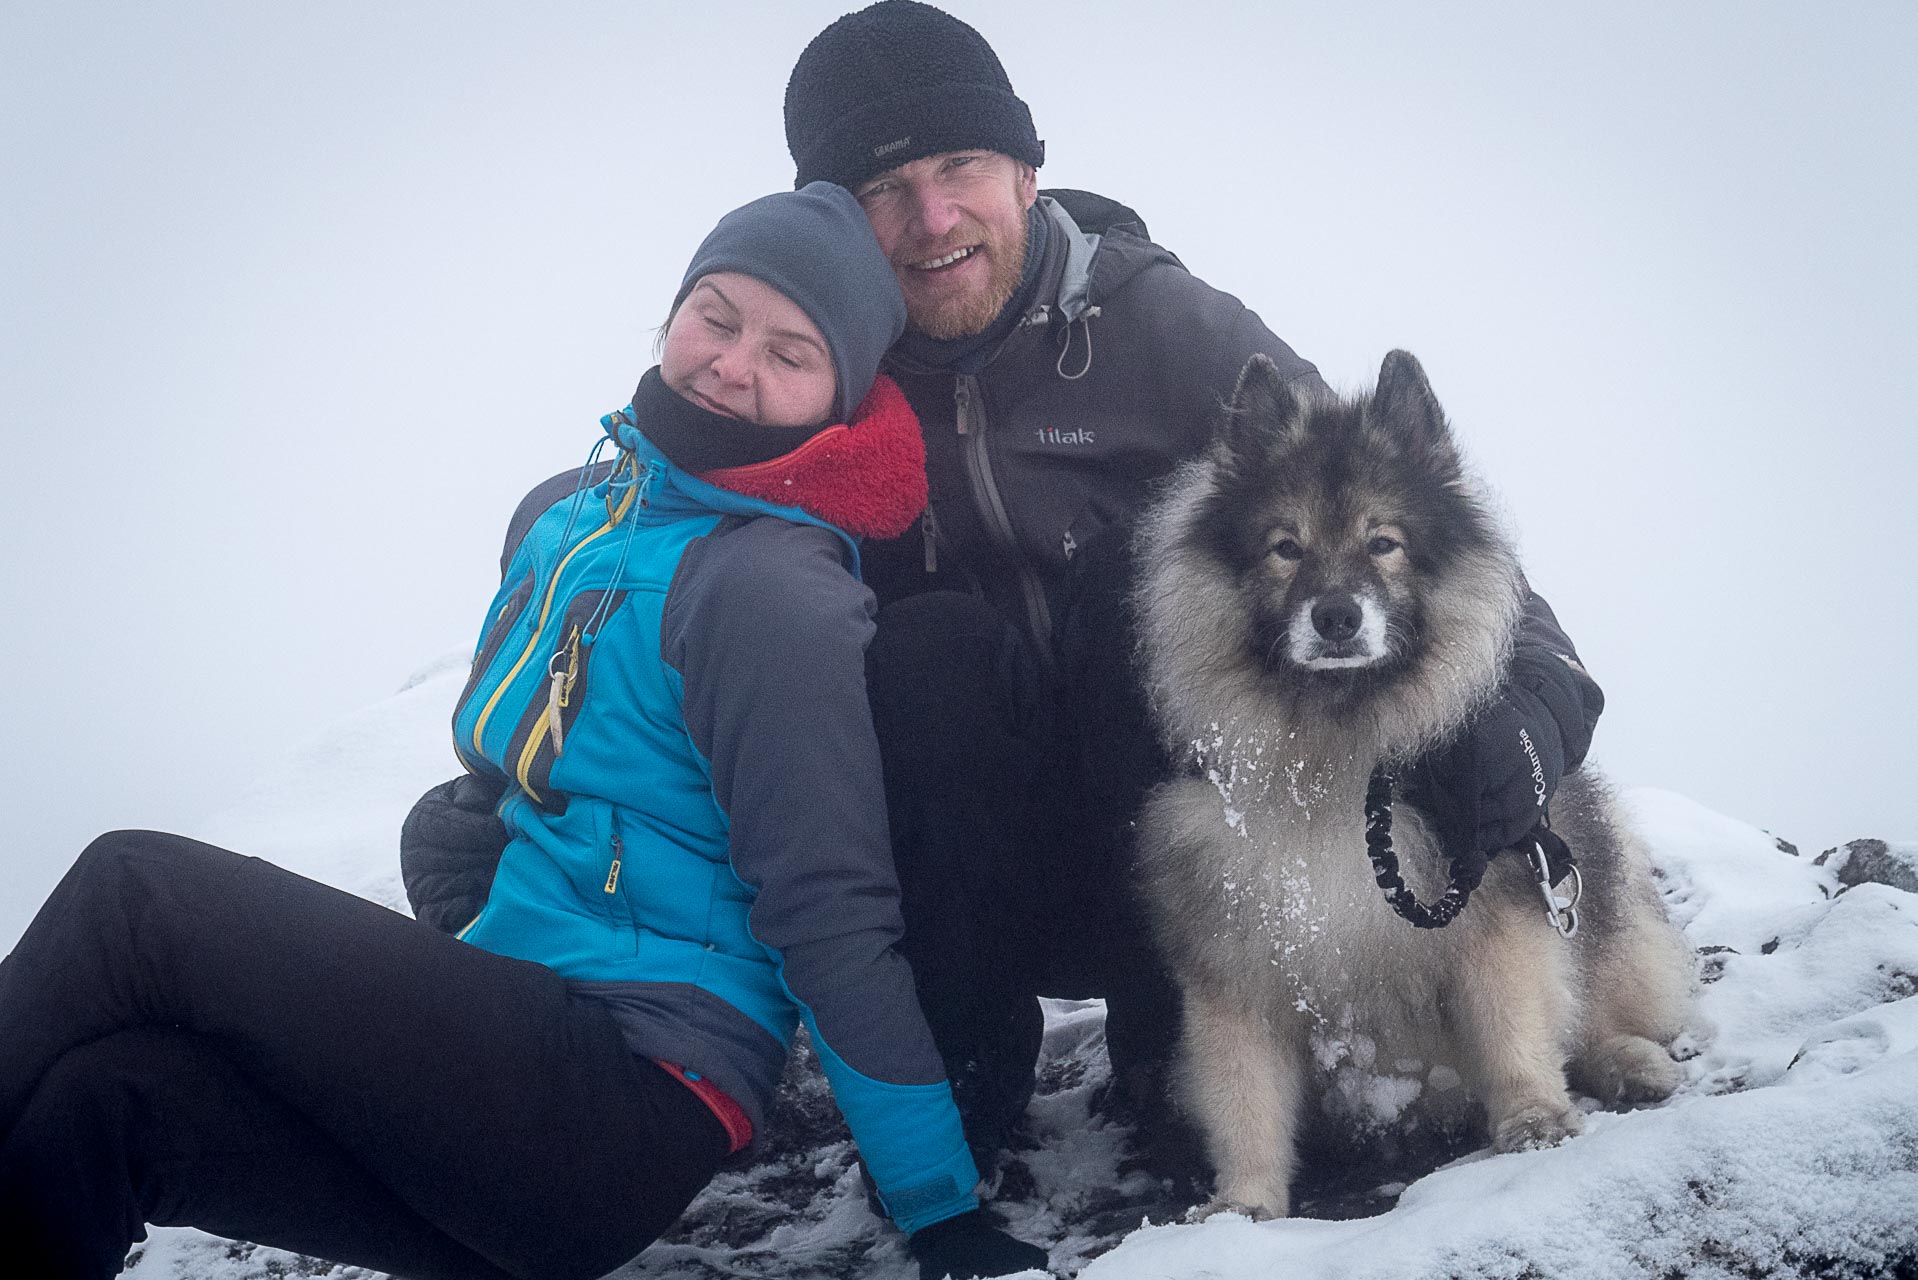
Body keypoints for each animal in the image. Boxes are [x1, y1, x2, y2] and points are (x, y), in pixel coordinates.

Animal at [1127, 351, 1703, 1220]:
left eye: (1383, 542)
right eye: (1285, 547)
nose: (1336, 617)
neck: (1333, 761)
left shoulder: (1492, 907)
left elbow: (1512, 1024)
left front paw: (1533, 1118)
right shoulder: (1234, 962)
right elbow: (1243, 1094)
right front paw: (1243, 1206)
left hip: (1581, 879)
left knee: (1600, 1006)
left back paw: (1629, 1063)